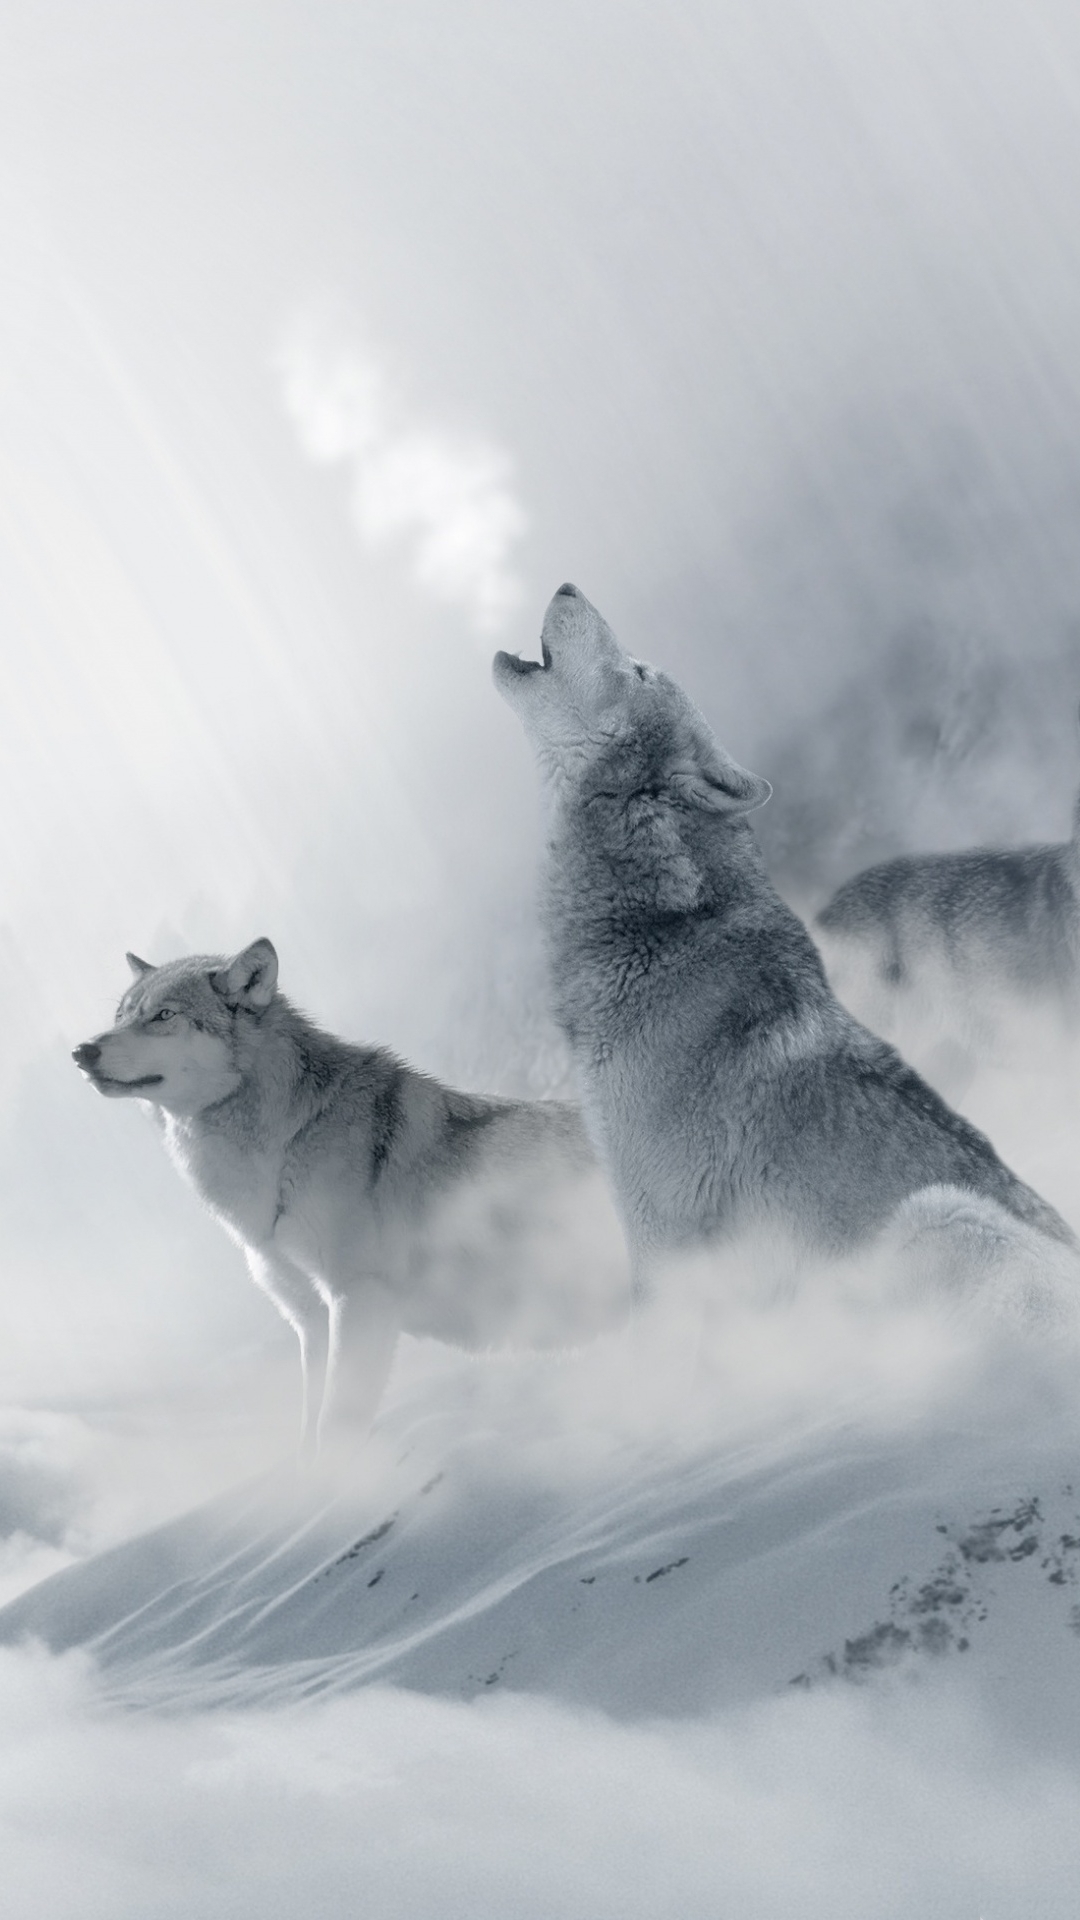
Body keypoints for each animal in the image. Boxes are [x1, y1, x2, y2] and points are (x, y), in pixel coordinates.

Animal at [72, 940, 628, 1452]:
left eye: (163, 1015)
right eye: (121, 1016)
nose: (82, 1052)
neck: (285, 1146)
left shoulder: (359, 1302)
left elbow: (334, 1429)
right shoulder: (311, 1323)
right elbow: (308, 1435)